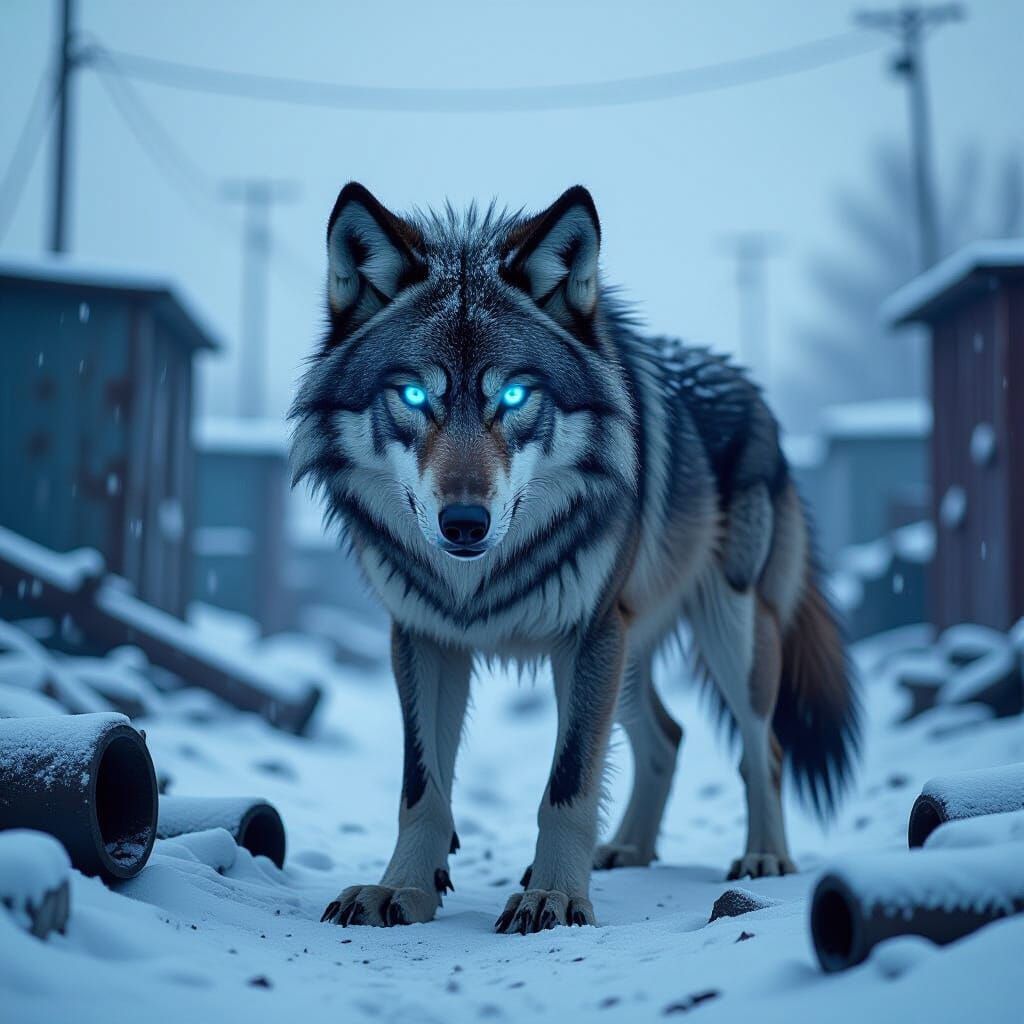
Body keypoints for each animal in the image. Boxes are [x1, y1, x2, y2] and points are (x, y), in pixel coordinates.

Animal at [290, 183, 860, 935]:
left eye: (513, 394)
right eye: (414, 395)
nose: (464, 522)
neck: (477, 581)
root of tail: (752, 391)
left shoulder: (588, 633)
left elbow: (567, 782)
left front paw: (554, 897)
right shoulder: (424, 636)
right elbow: (422, 785)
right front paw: (400, 889)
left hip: (728, 633)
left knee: (761, 747)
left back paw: (765, 858)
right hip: (629, 649)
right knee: (669, 737)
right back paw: (626, 850)